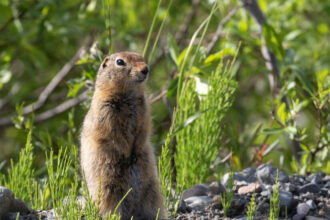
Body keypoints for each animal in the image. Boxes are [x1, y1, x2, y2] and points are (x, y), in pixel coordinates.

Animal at [80, 52, 165, 220]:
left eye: (141, 57)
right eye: (120, 62)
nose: (146, 69)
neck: (128, 96)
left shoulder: (144, 110)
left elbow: (144, 130)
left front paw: (136, 148)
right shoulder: (105, 111)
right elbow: (113, 134)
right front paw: (126, 152)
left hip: (152, 189)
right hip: (108, 187)